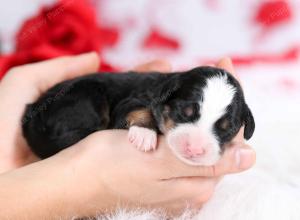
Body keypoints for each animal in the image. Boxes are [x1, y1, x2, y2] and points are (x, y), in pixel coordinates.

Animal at [21, 66, 255, 166]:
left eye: (227, 129)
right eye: (184, 112)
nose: (195, 149)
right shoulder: (129, 103)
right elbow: (140, 110)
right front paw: (144, 134)